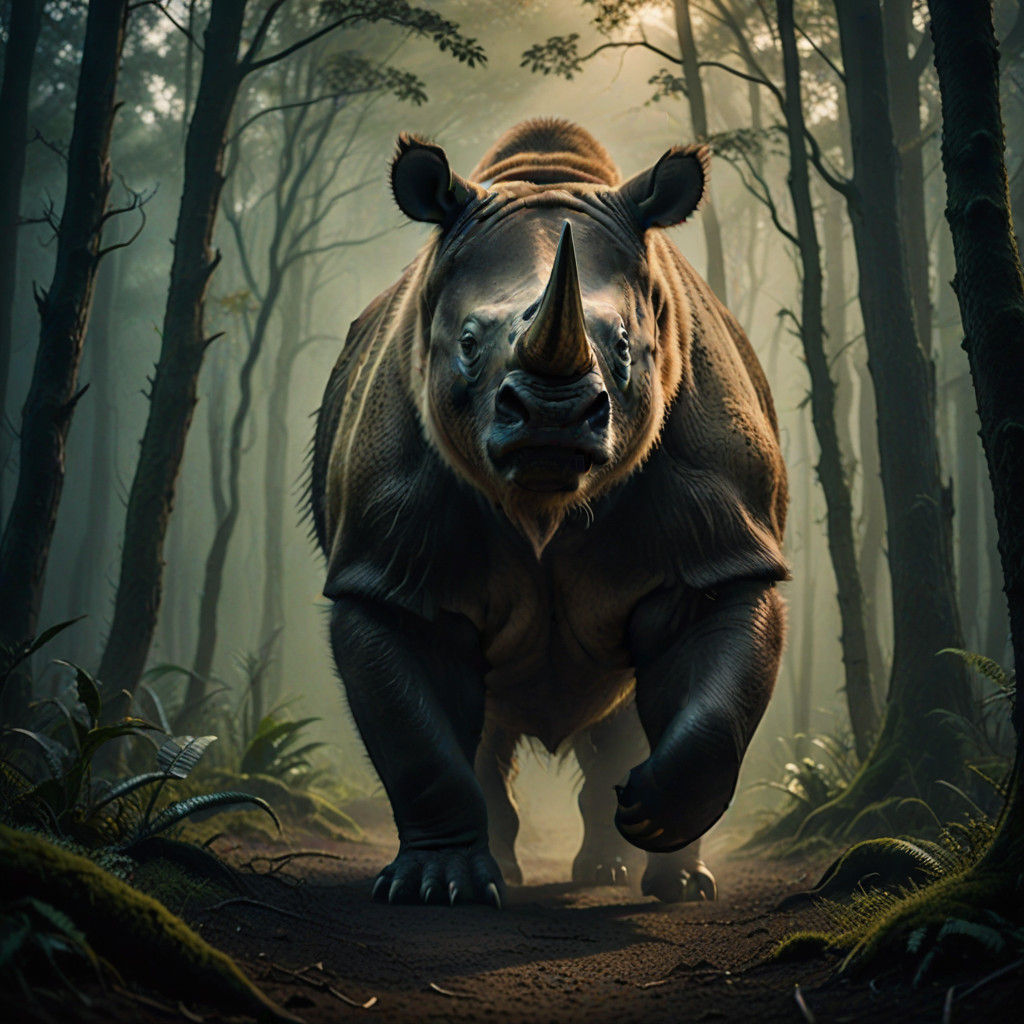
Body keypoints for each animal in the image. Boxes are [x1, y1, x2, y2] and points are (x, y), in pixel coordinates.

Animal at [310, 119, 787, 907]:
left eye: (625, 347)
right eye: (467, 342)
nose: (553, 417)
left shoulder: (725, 553)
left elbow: (715, 704)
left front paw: (651, 811)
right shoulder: (382, 575)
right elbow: (418, 746)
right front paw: (435, 888)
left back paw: (655, 877)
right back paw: (502, 872)